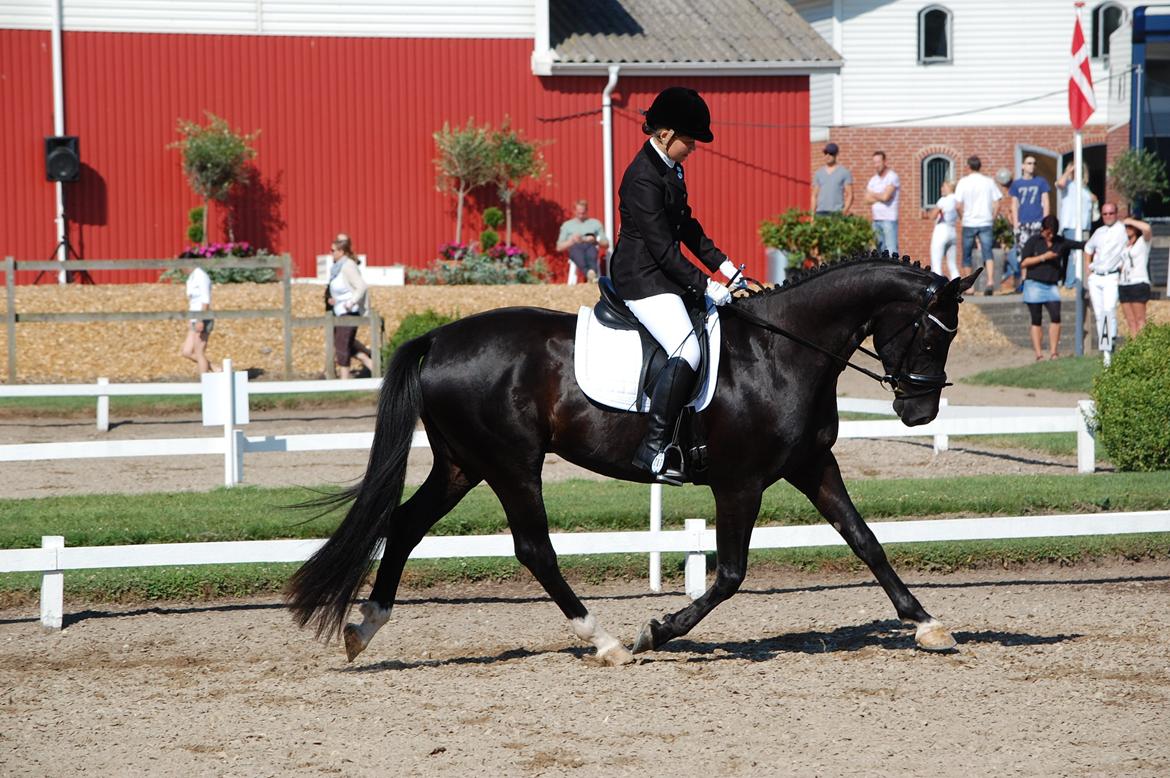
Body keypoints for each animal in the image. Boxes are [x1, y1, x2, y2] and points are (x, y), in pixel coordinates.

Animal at [290, 253, 978, 659]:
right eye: (931, 333)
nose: (920, 414)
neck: (782, 351)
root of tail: (436, 338)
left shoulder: (812, 467)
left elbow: (867, 541)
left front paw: (926, 623)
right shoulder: (741, 482)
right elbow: (731, 573)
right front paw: (659, 629)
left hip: (464, 464)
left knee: (405, 525)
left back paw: (364, 626)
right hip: (511, 464)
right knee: (533, 549)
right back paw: (606, 641)